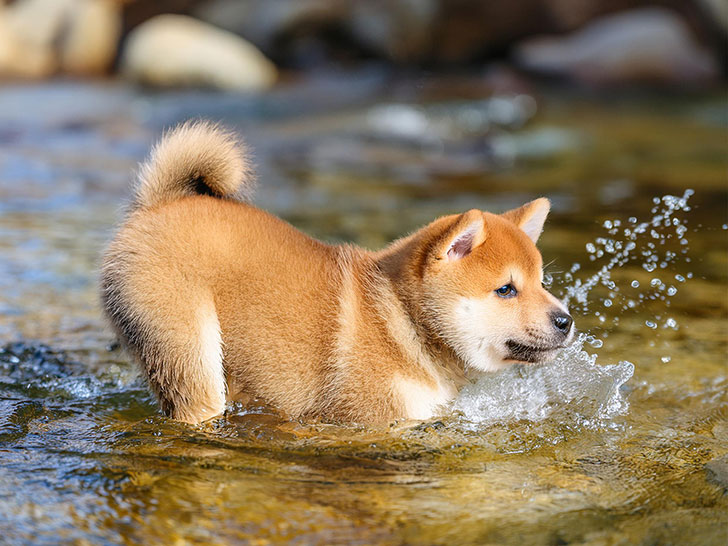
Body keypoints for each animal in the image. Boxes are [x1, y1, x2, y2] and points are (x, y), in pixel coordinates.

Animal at [101, 121, 576, 422]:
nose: (566, 320)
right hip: (188, 353)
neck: (402, 322)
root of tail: (158, 205)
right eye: (506, 290)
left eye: (541, 282)